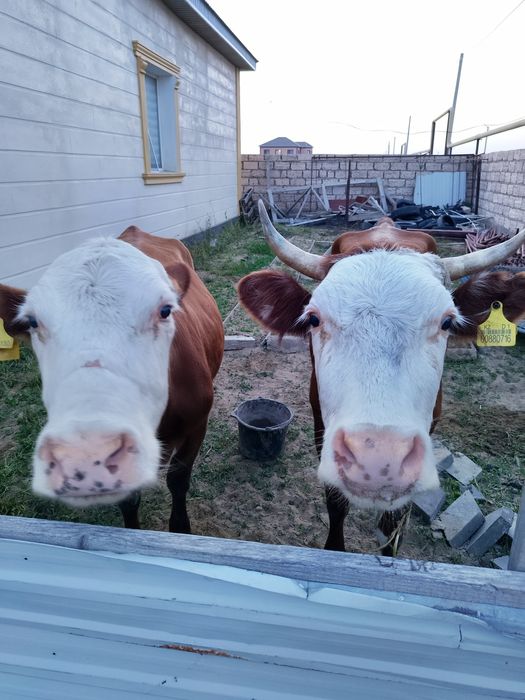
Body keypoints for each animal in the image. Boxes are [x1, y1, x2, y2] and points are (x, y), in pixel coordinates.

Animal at [0, 226, 224, 532]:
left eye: (165, 310)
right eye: (33, 322)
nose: (88, 448)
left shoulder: (197, 424)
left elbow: (178, 481)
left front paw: (180, 528)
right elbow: (129, 500)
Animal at [238, 200, 525, 554]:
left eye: (447, 322)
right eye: (314, 319)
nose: (377, 460)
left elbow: (394, 519)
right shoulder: (321, 423)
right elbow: (336, 503)